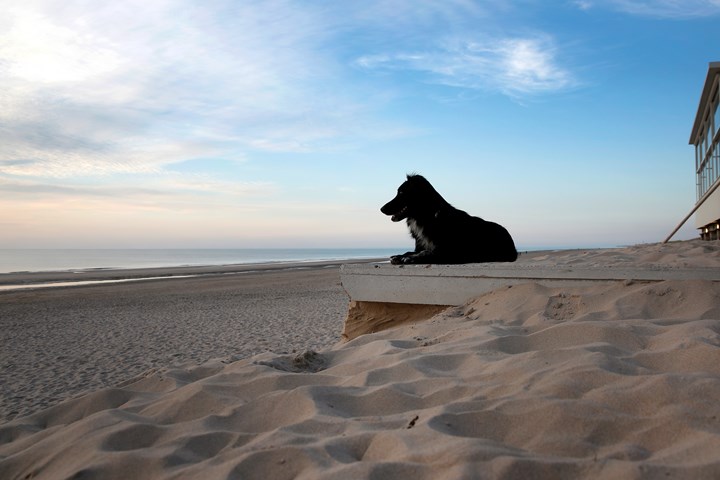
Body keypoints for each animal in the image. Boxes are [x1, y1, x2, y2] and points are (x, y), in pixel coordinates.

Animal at [382, 173, 516, 264]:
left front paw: (410, 258)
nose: (381, 209)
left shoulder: (449, 251)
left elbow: (427, 253)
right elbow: (411, 251)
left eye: (401, 193)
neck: (428, 216)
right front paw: (400, 256)